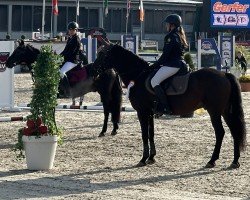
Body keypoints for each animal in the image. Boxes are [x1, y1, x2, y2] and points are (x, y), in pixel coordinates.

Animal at [93, 42, 247, 169]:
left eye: (102, 54)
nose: (93, 70)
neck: (138, 76)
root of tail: (224, 74)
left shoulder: (142, 111)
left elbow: (144, 134)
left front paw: (143, 159)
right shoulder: (150, 112)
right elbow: (151, 134)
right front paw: (151, 157)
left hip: (214, 111)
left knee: (220, 132)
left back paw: (212, 160)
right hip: (226, 111)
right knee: (234, 131)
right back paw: (235, 161)